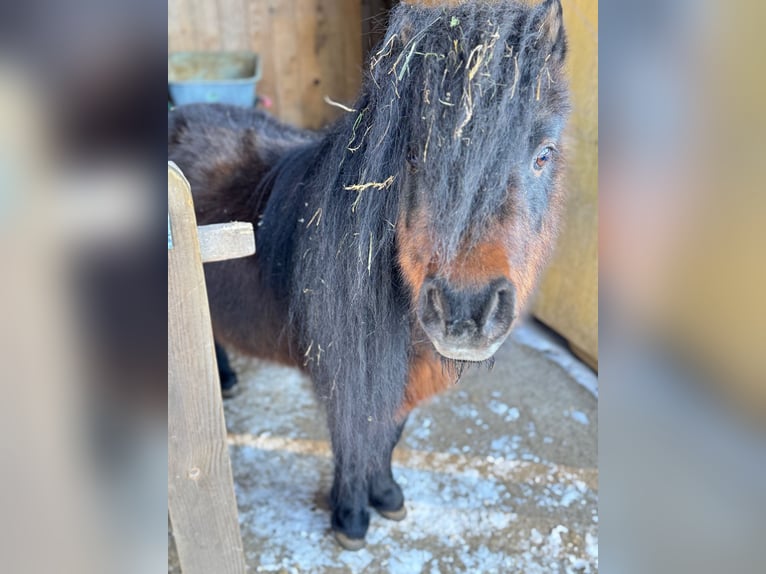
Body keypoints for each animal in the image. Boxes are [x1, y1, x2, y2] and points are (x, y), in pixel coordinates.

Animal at [168, 0, 569, 550]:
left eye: (543, 155)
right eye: (414, 154)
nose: (467, 312)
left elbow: (387, 437)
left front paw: (387, 497)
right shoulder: (347, 374)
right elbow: (354, 440)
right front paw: (352, 518)